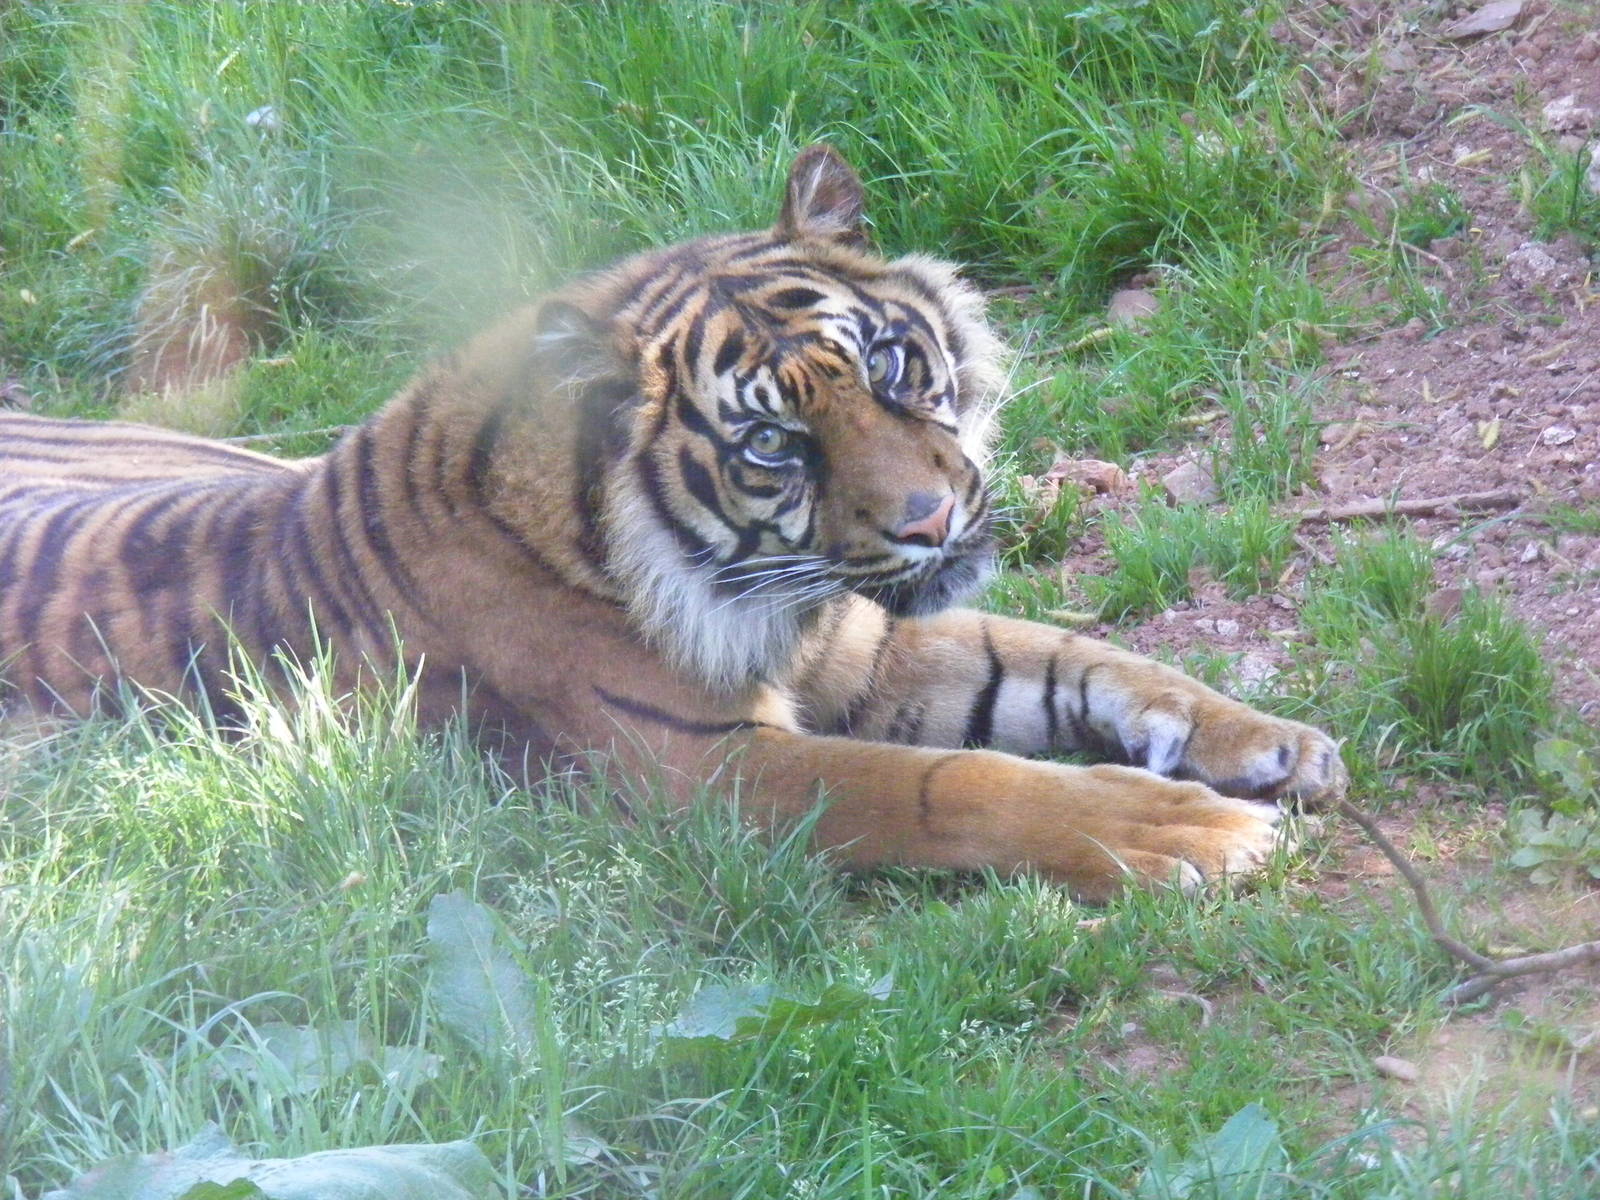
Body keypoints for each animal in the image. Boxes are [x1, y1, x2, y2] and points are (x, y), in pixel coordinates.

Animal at [0, 145, 1345, 901]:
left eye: (890, 368)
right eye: (773, 446)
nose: (930, 518)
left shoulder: (875, 645)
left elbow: (1091, 659)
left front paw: (1271, 741)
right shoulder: (706, 769)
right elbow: (954, 783)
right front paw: (1193, 829)